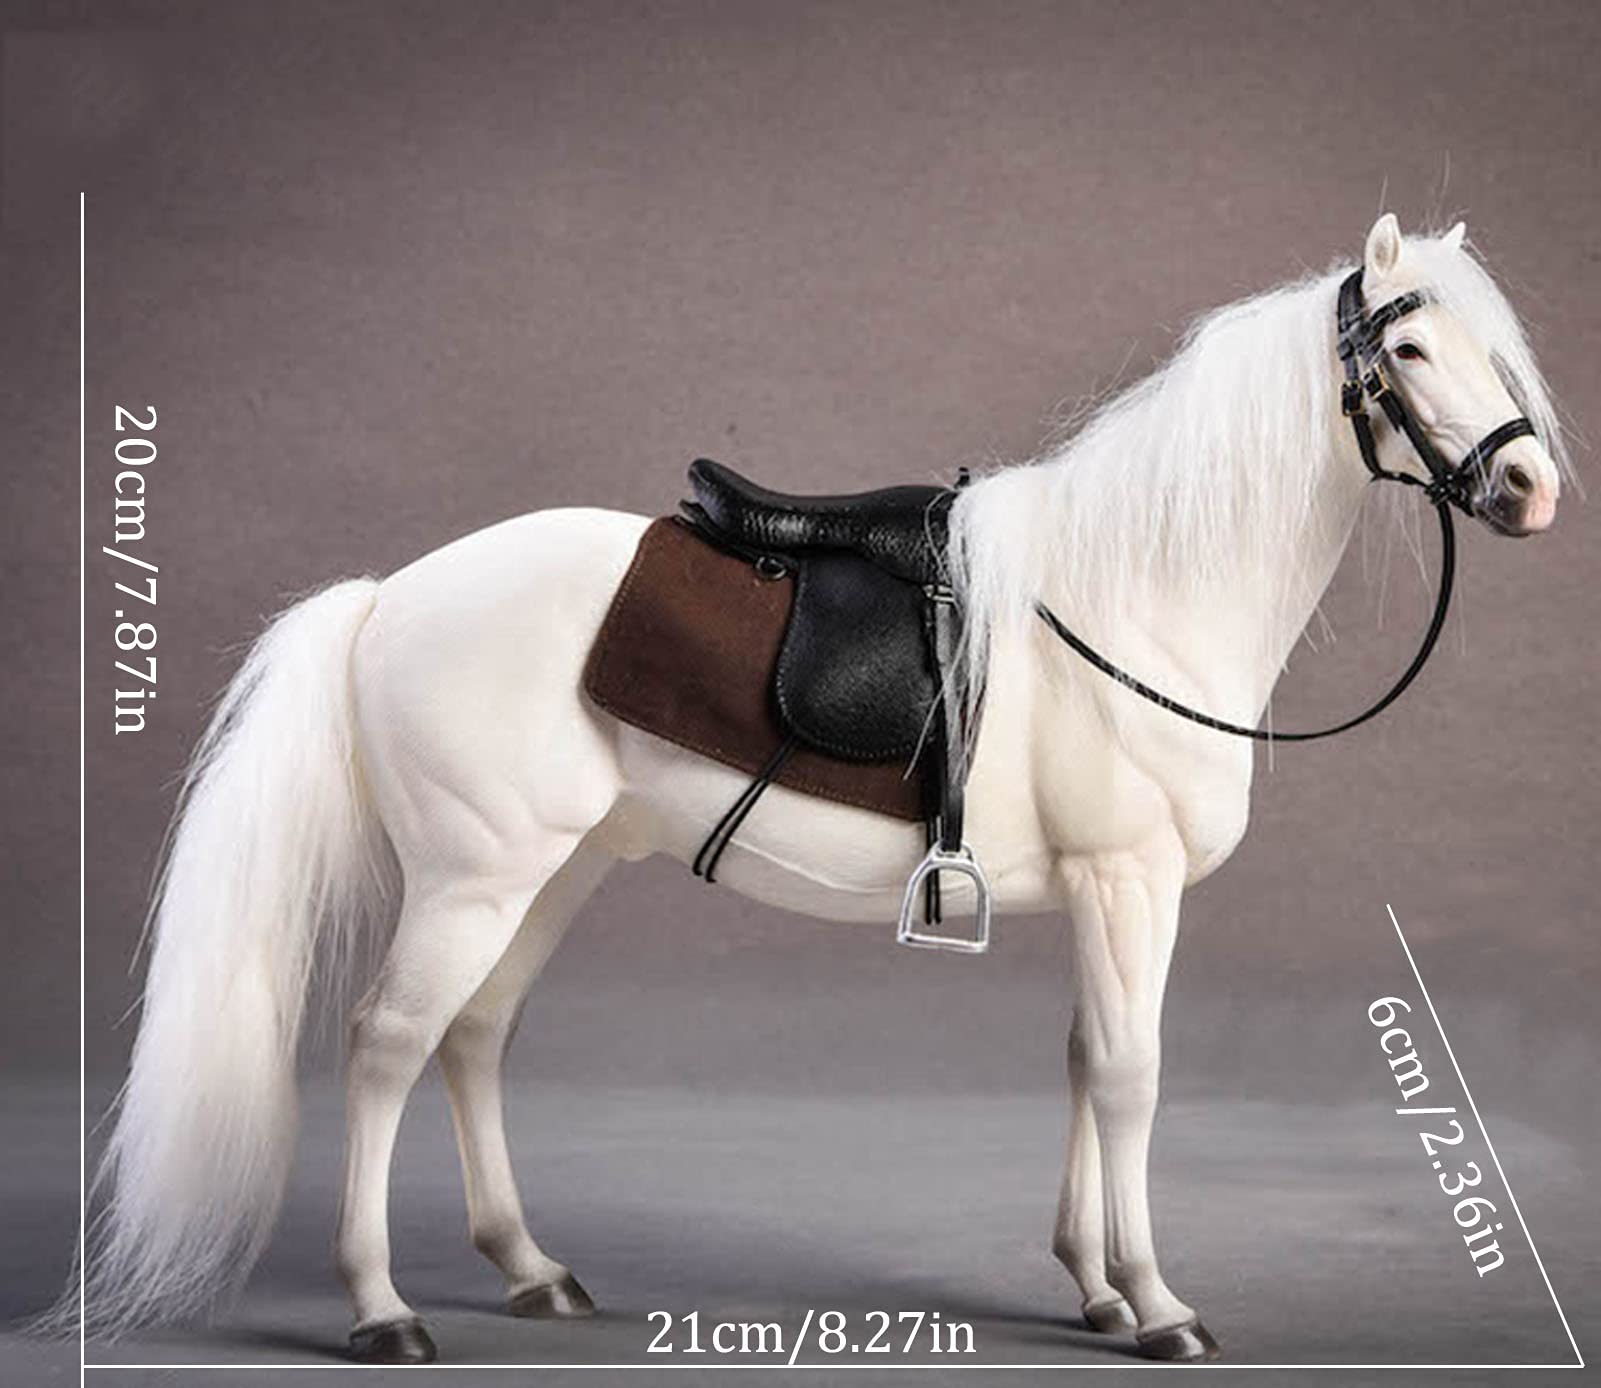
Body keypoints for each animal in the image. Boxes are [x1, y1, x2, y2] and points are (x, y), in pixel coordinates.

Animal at [71, 214, 1565, 1364]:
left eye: (1494, 349)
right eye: (1408, 350)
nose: (1528, 485)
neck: (1131, 592)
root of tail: (387, 596)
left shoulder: (1100, 899)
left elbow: (1085, 1062)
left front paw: (1090, 1286)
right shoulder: (1129, 885)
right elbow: (1132, 1075)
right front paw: (1154, 1303)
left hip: (552, 869)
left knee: (475, 1035)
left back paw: (529, 1268)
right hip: (474, 876)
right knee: (387, 1044)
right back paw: (381, 1307)